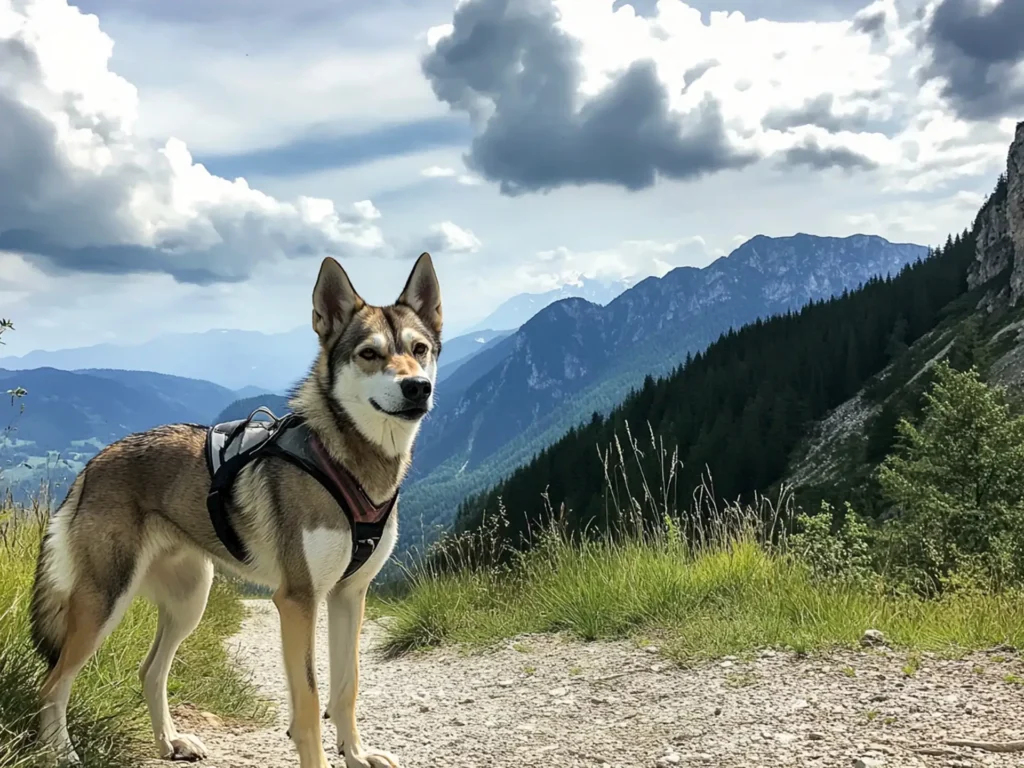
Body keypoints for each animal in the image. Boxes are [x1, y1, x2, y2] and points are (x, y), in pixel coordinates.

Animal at [29, 253, 440, 768]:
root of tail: (93, 464)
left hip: (190, 601)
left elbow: (347, 688)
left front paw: (357, 754)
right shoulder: (298, 600)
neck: (346, 462)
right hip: (105, 602)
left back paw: (170, 743)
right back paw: (62, 753)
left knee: (150, 670)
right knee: (52, 683)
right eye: (369, 354)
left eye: (420, 349)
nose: (417, 387)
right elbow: (309, 702)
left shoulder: (349, 595)